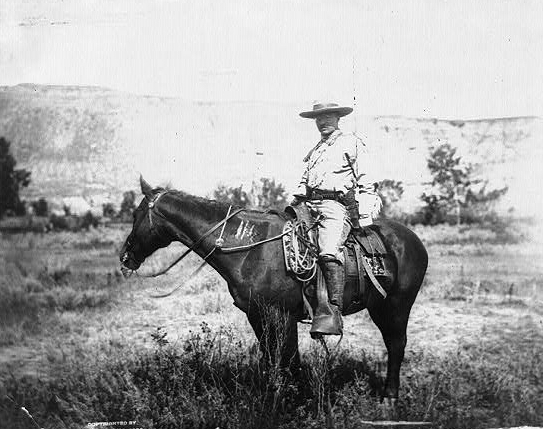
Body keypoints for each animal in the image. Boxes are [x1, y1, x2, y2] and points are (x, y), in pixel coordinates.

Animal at [120, 176, 430, 412]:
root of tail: (412, 239)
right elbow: (272, 358)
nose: (125, 257)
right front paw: (276, 398)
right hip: (380, 306)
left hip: (397, 306)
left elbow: (289, 359)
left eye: (136, 215)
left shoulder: (280, 315)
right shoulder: (257, 315)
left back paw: (389, 398)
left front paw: (296, 403)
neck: (250, 247)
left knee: (396, 345)